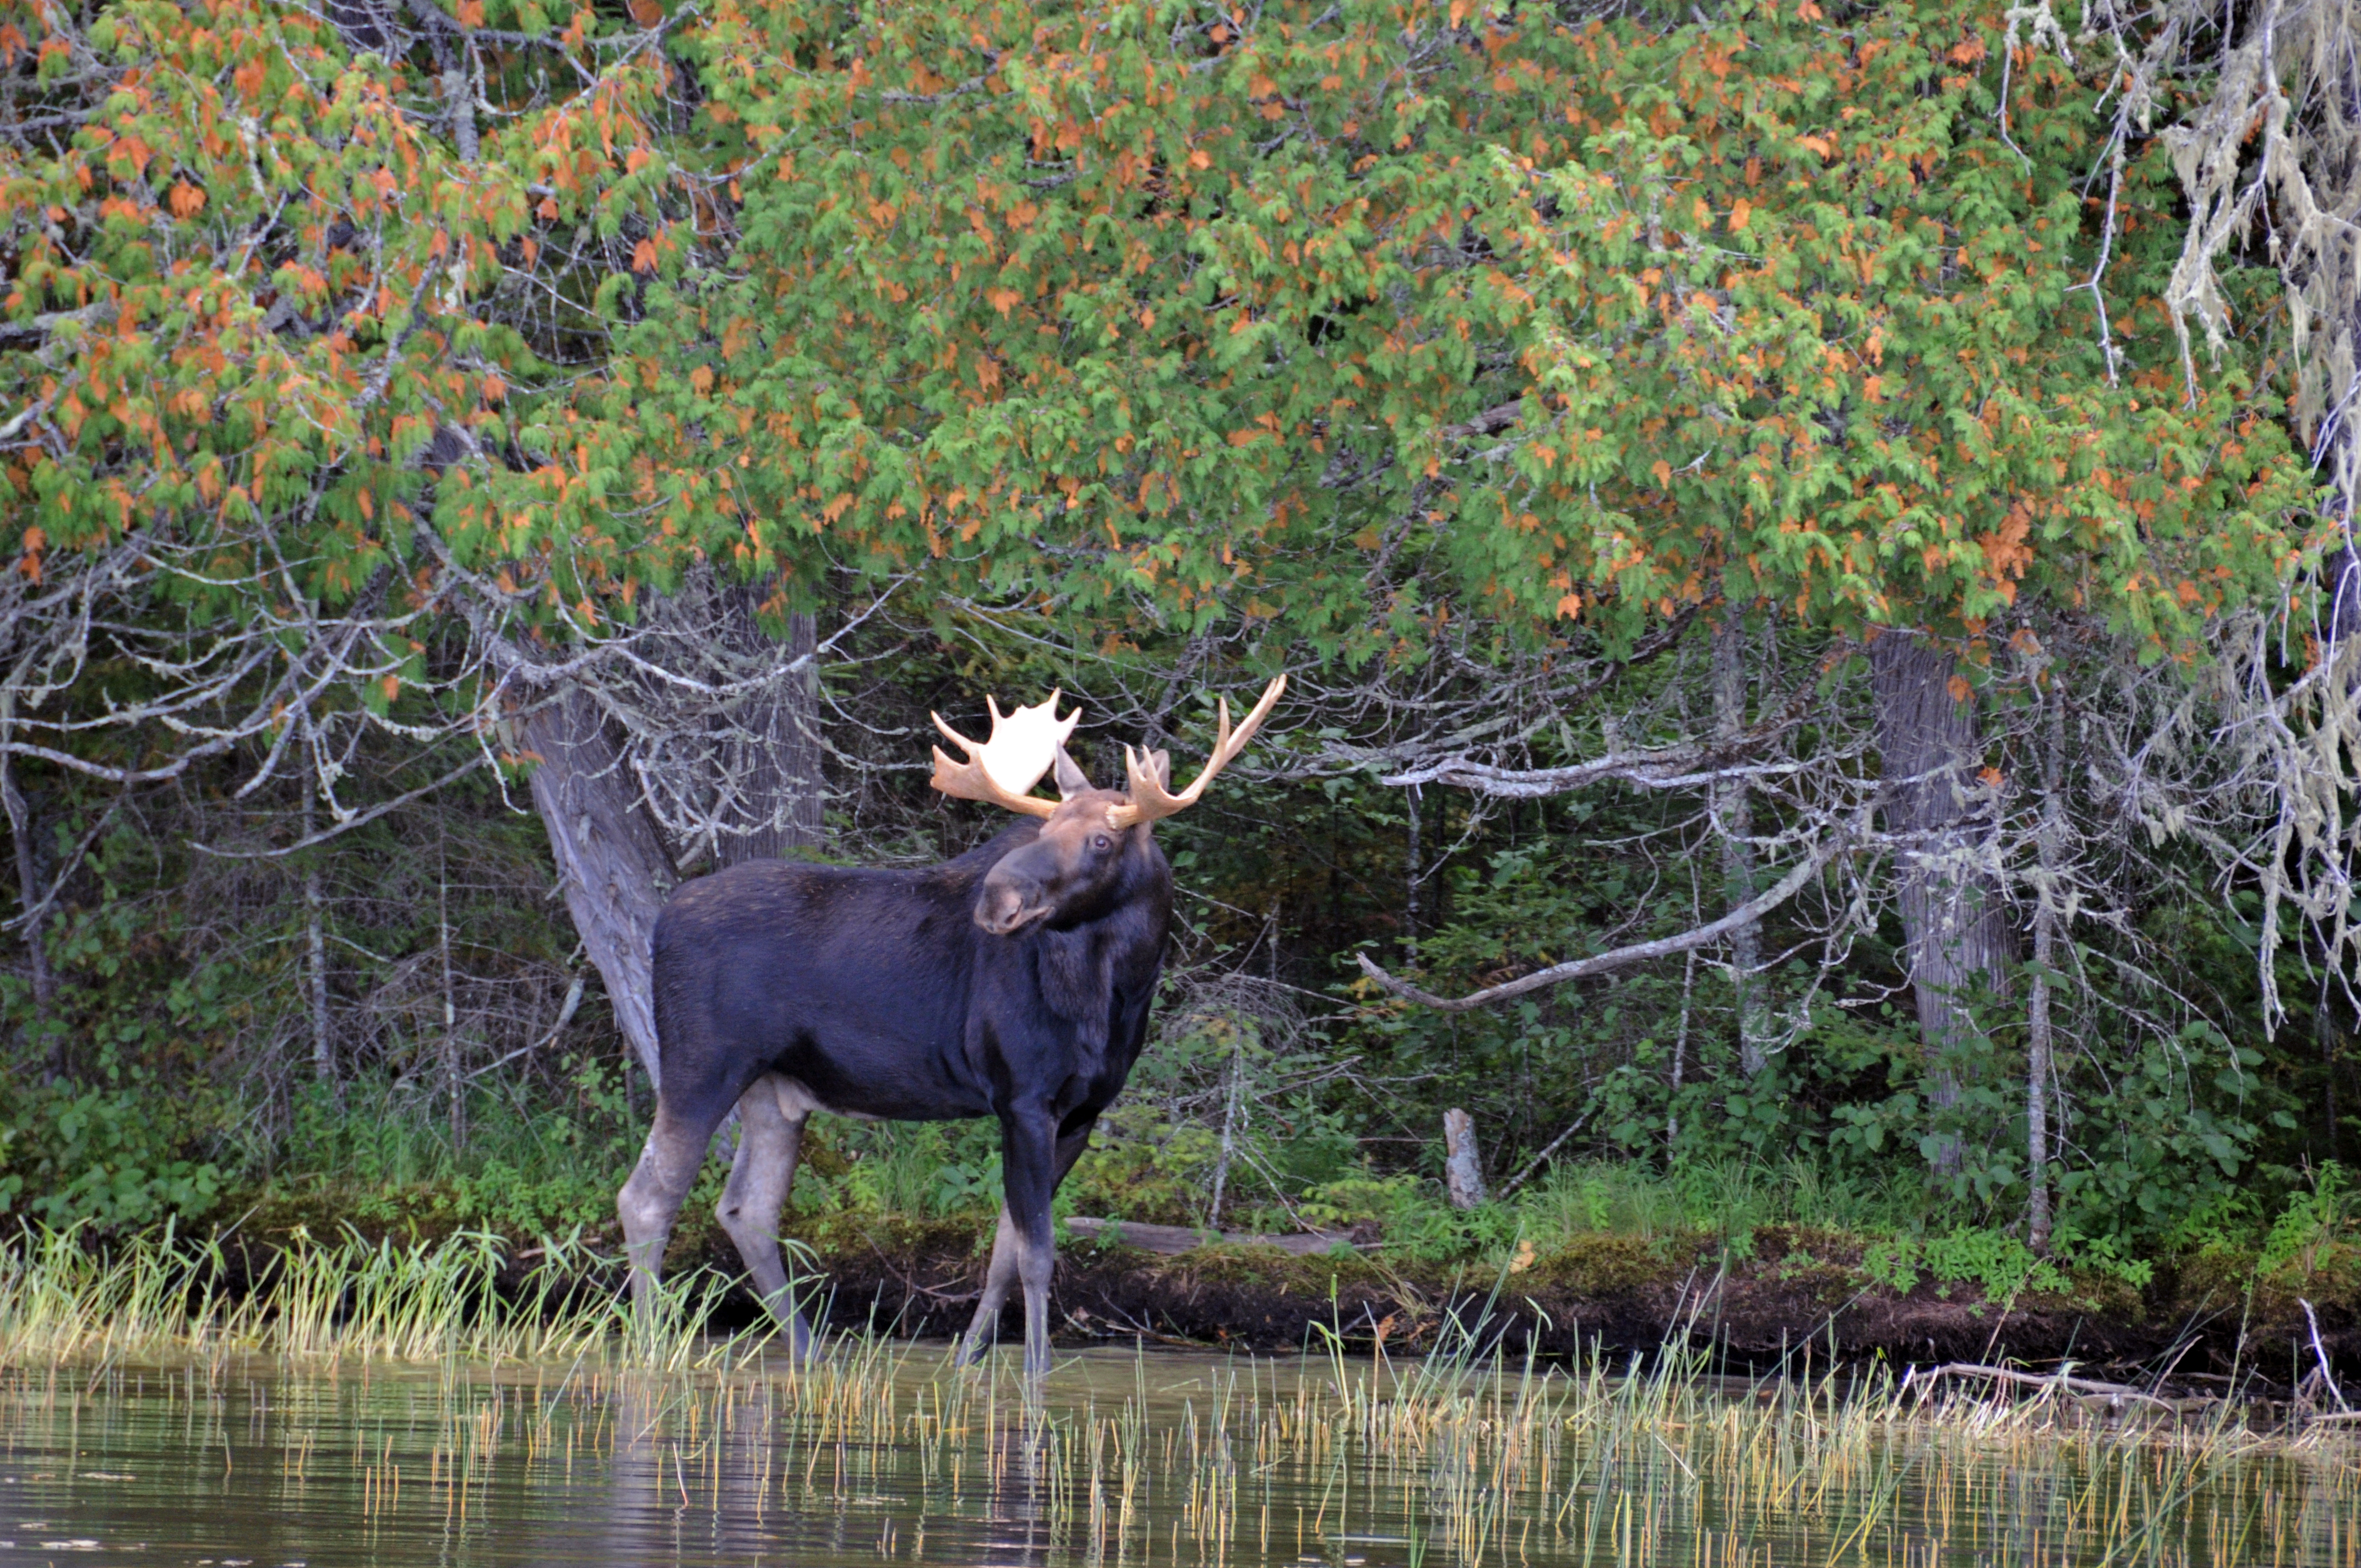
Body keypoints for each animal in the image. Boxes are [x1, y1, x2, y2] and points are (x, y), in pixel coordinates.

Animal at [618, 675, 1284, 1369]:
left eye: (1102, 839)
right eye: (1044, 827)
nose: (998, 896)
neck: (1116, 995)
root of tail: (661, 922)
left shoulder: (1081, 1112)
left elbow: (1004, 1250)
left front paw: (969, 1365)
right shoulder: (1022, 1097)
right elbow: (1037, 1254)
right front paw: (1036, 1373)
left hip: (775, 1091)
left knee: (747, 1208)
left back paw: (809, 1353)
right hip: (702, 1065)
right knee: (647, 1198)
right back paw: (650, 1350)